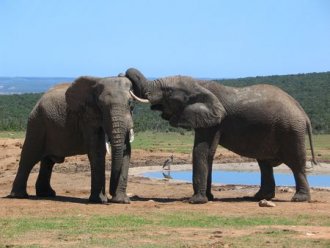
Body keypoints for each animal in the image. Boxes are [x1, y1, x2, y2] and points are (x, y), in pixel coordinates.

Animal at [9, 75, 135, 203]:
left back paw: (46, 194)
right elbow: (97, 151)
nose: (111, 195)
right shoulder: (87, 117)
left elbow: (126, 151)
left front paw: (121, 201)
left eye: (131, 104)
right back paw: (19, 195)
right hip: (37, 123)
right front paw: (99, 201)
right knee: (29, 157)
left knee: (48, 161)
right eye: (100, 106)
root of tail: (39, 100)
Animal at [125, 67, 318, 203]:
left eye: (168, 91)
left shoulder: (215, 120)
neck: (199, 85)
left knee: (295, 164)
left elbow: (201, 151)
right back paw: (259, 197)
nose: (122, 74)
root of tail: (303, 113)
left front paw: (196, 201)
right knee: (264, 163)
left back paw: (298, 199)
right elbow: (209, 153)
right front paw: (208, 198)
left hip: (291, 130)